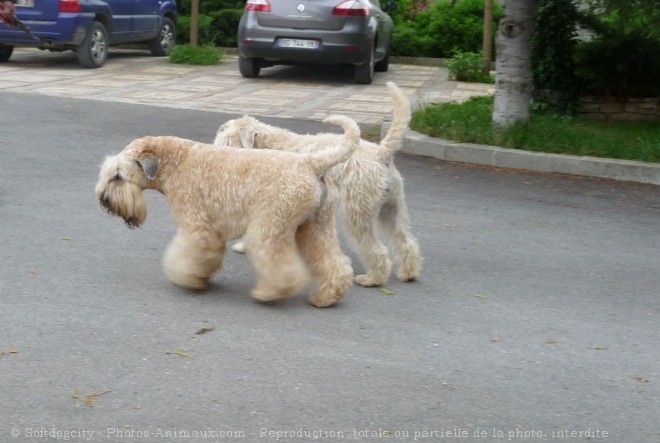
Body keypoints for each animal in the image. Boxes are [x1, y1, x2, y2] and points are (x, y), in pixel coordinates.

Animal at [95, 116, 358, 306]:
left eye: (118, 175)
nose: (103, 199)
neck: (176, 163)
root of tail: (311, 163)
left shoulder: (196, 227)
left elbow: (189, 254)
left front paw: (189, 278)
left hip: (269, 227)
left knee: (279, 264)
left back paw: (269, 292)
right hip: (316, 226)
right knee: (332, 261)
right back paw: (327, 296)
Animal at [217, 82, 422, 288]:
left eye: (229, 144)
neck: (267, 147)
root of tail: (381, 153)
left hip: (358, 212)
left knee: (377, 249)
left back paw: (372, 279)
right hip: (391, 207)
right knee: (405, 241)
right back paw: (408, 273)